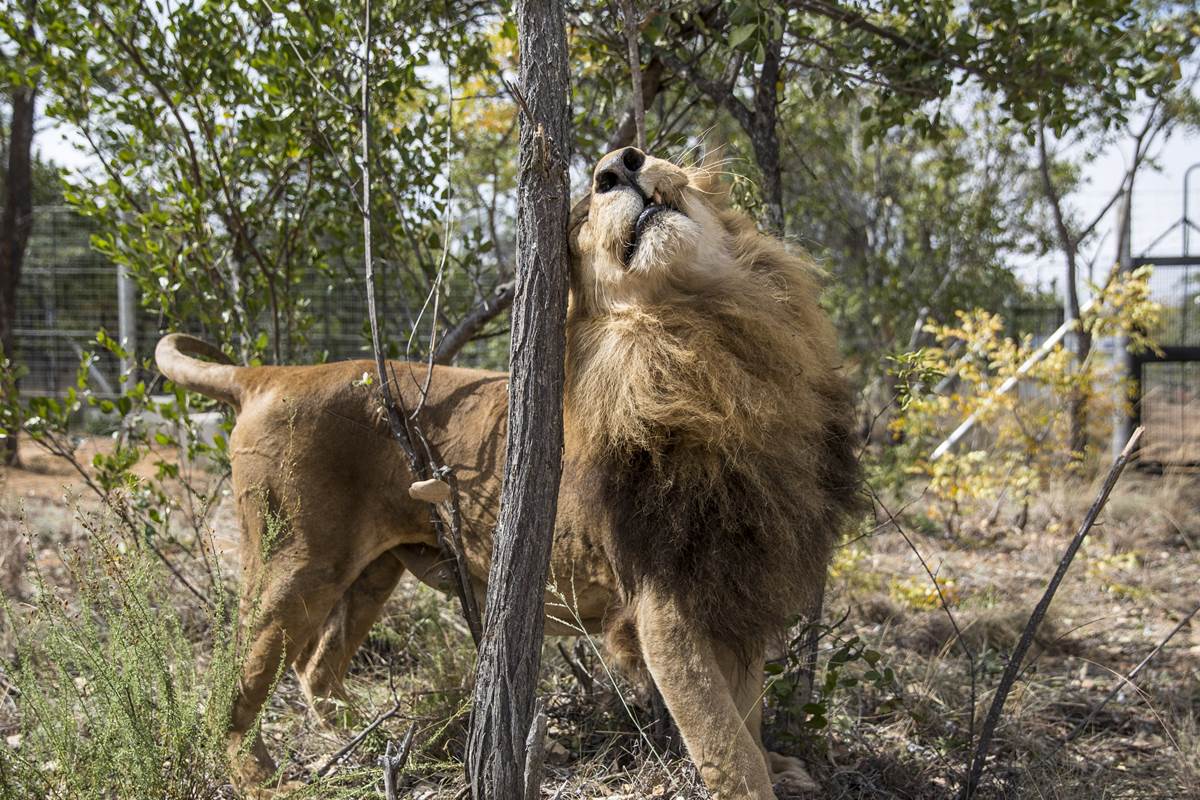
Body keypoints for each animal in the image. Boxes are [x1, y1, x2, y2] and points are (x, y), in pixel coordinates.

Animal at [155, 147, 860, 799]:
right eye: (581, 213)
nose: (619, 164)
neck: (701, 339)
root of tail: (270, 374)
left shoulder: (734, 575)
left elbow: (749, 712)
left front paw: (779, 765)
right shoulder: (666, 606)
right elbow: (724, 744)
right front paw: (758, 777)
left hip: (374, 571)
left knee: (316, 672)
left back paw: (387, 741)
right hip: (295, 563)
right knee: (233, 683)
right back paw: (262, 775)